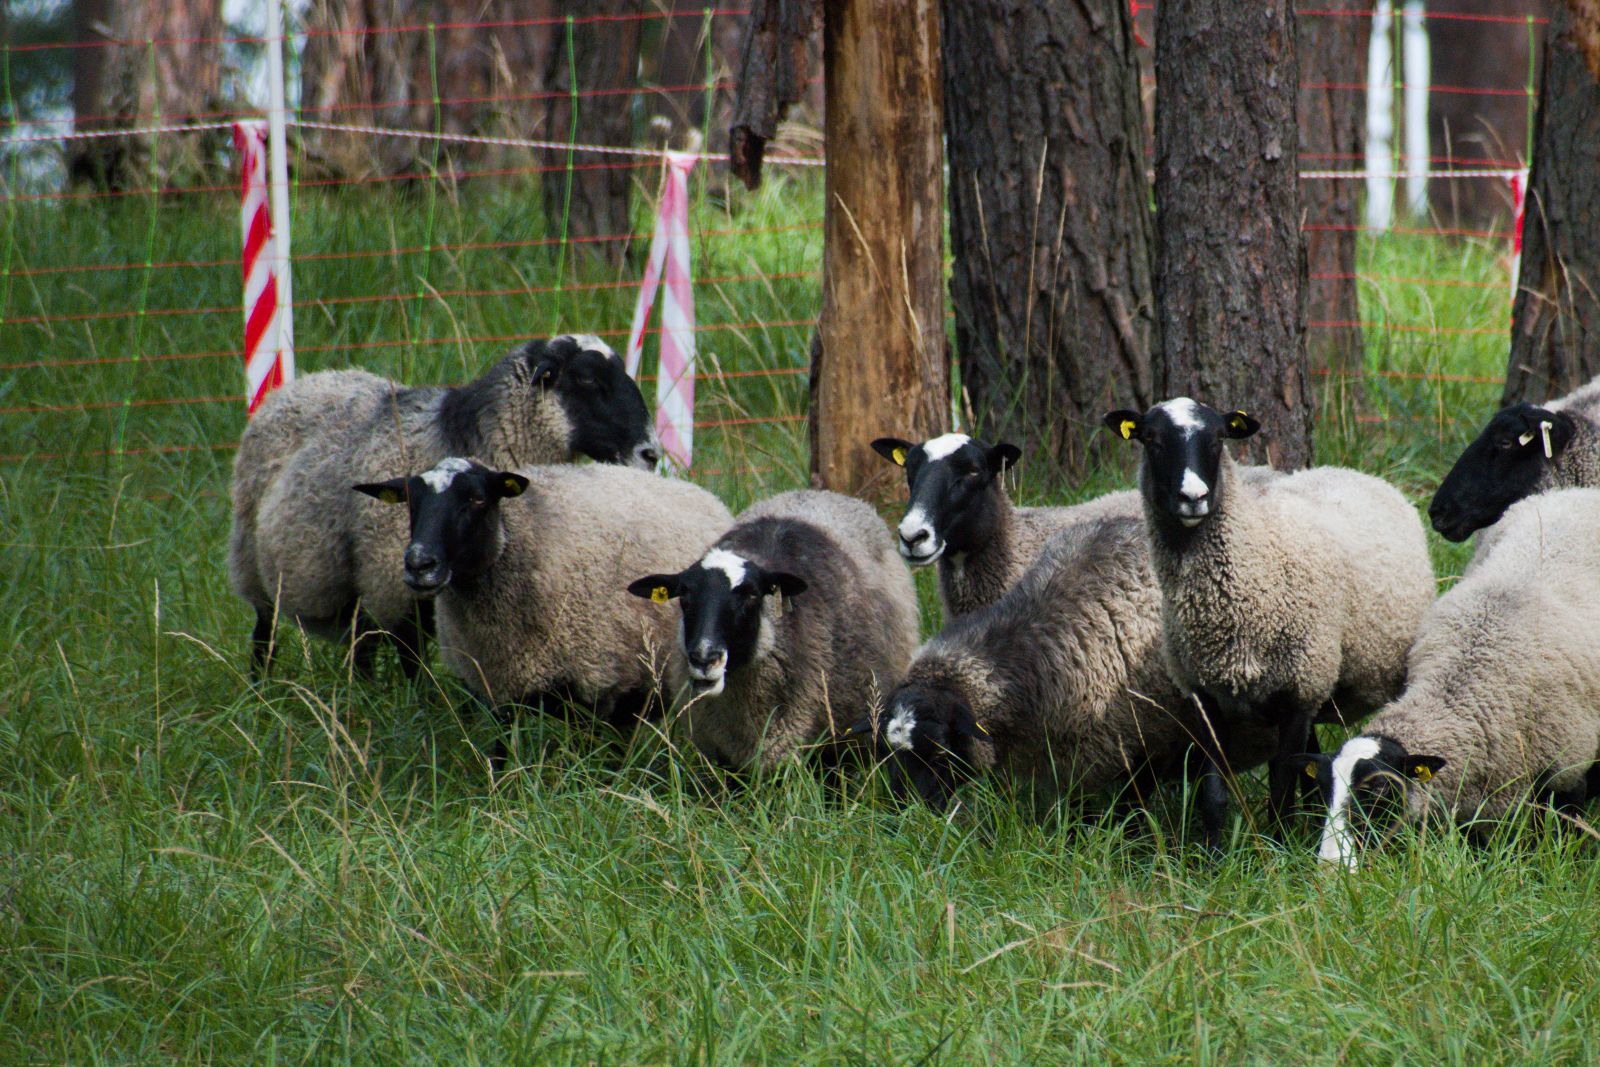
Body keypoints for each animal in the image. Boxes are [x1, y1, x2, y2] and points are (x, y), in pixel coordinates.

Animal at [233, 337, 656, 681]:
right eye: (586, 379)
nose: (650, 454)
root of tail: (300, 383)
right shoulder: (399, 585)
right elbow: (413, 662)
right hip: (254, 563)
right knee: (265, 633)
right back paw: (262, 691)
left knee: (360, 643)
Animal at [353, 460, 729, 751]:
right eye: (410, 502)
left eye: (477, 499)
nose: (419, 564)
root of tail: (701, 493)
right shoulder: (498, 684)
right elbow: (500, 750)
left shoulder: (597, 685)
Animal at [1100, 396, 1440, 844]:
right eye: (1151, 439)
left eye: (1218, 439)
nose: (1194, 497)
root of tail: (1352, 471)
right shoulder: (1205, 695)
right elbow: (1214, 791)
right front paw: (1213, 854)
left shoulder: (1298, 689)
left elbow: (1280, 785)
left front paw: (1280, 848)